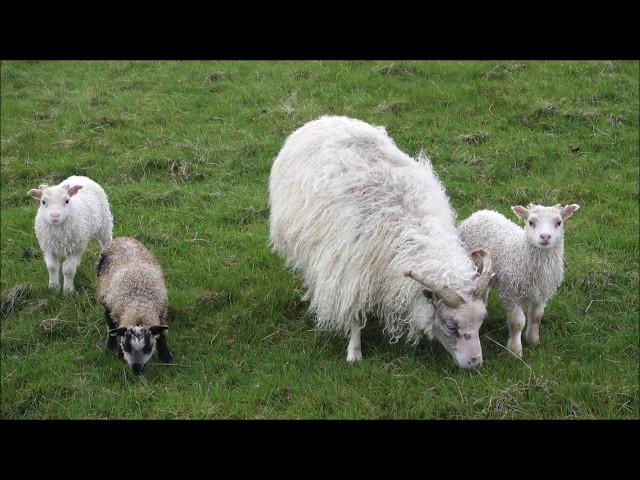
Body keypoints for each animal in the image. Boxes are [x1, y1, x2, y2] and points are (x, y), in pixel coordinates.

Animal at [268, 115, 492, 368]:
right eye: (451, 325)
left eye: (481, 321)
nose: (475, 362)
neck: (410, 234)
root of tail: (325, 119)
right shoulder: (352, 273)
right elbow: (355, 316)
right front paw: (354, 352)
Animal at [458, 202, 584, 356]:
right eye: (531, 222)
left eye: (558, 222)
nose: (545, 236)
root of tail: (481, 213)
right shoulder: (511, 294)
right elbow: (517, 322)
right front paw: (515, 351)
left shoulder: (542, 294)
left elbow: (536, 317)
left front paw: (533, 340)